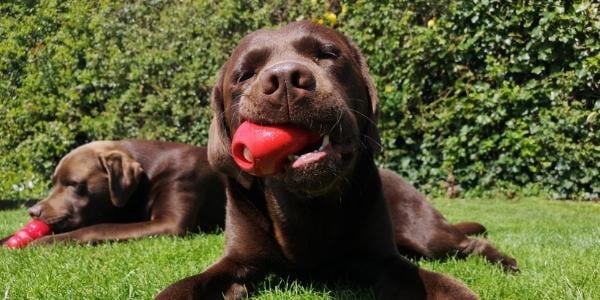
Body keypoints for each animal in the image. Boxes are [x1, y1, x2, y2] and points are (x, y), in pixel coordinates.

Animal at [1, 139, 226, 245]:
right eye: (54, 182)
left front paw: (43, 242)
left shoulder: (170, 222)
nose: (33, 212)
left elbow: (98, 228)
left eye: (72, 184)